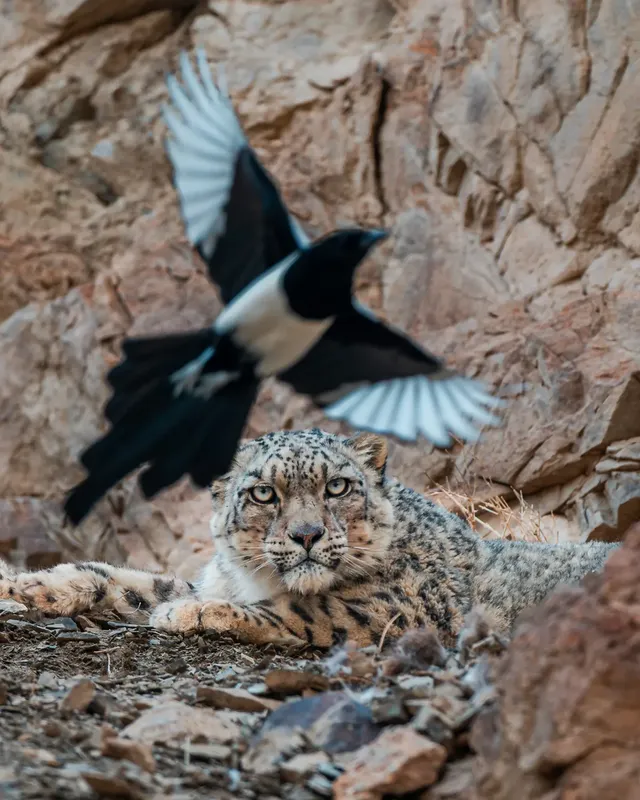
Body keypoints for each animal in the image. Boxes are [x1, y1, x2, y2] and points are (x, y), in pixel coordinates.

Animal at [0, 428, 618, 649]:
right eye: (263, 493)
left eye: (337, 486)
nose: (306, 534)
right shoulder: (209, 577)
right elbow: (124, 579)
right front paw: (23, 586)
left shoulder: (391, 608)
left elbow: (292, 611)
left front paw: (187, 615)